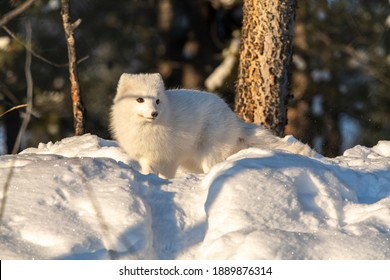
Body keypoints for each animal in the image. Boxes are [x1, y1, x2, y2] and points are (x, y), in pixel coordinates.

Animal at [109, 73, 316, 178]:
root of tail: (233, 117)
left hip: (209, 151)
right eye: (140, 99)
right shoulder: (147, 155)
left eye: (158, 101)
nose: (154, 113)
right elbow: (149, 170)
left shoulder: (169, 157)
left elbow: (165, 175)